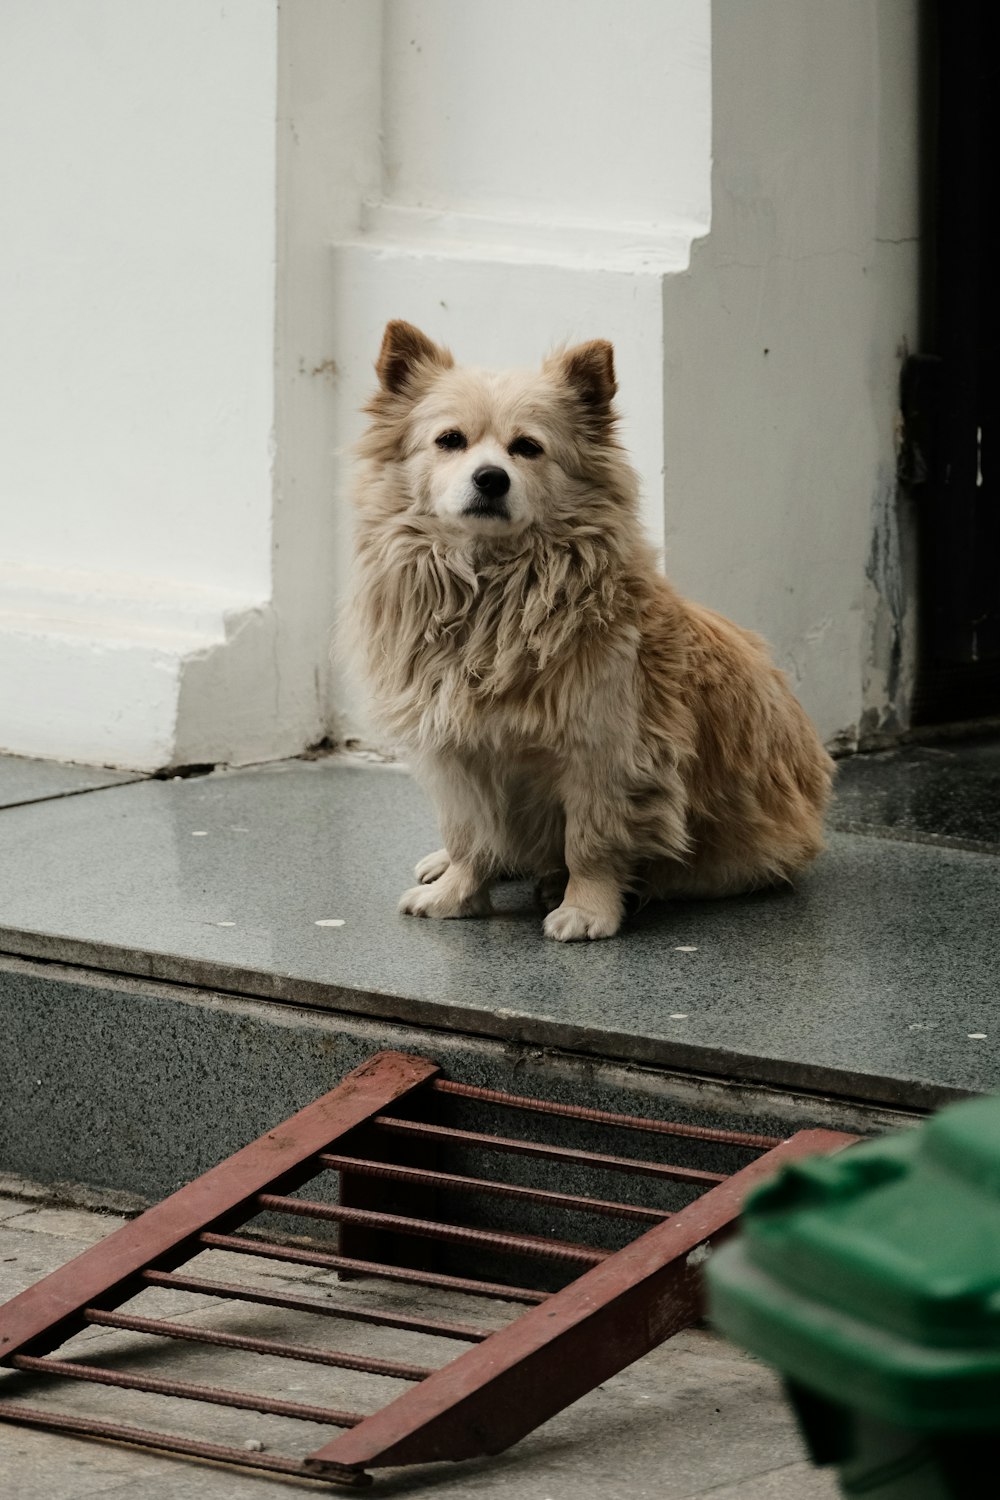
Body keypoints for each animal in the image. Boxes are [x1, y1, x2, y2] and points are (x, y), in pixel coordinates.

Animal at [352, 322, 839, 942]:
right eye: (450, 441)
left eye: (527, 448)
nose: (491, 478)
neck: (495, 592)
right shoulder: (457, 752)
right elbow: (470, 836)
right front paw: (457, 893)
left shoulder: (603, 754)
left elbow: (590, 842)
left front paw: (586, 908)